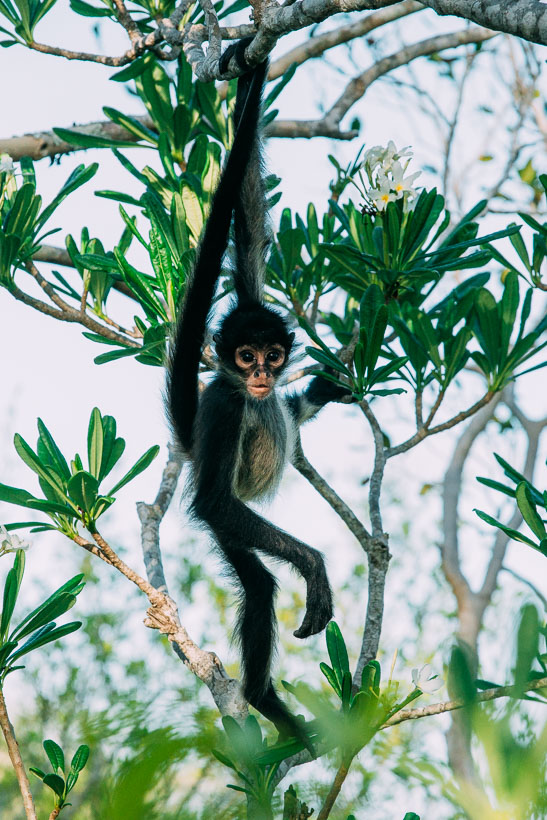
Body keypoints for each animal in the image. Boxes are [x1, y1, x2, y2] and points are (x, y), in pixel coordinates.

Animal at [167, 47, 352, 738]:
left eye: (272, 354)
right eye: (244, 357)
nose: (263, 376)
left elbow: (246, 226)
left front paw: (253, 66)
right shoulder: (222, 407)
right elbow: (217, 503)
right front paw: (316, 566)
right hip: (229, 525)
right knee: (256, 575)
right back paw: (265, 701)